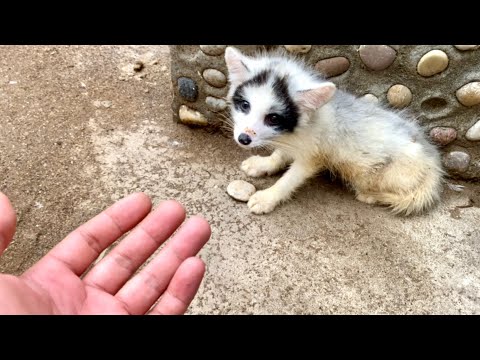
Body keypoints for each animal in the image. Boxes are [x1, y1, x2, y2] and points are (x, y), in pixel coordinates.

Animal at [224, 46, 442, 215]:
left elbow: (289, 180)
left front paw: (268, 198)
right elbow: (280, 154)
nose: (243, 139)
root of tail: (433, 161)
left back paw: (370, 196)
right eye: (245, 106)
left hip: (380, 175)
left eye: (273, 118)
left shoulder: (312, 158)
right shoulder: (295, 141)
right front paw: (264, 164)